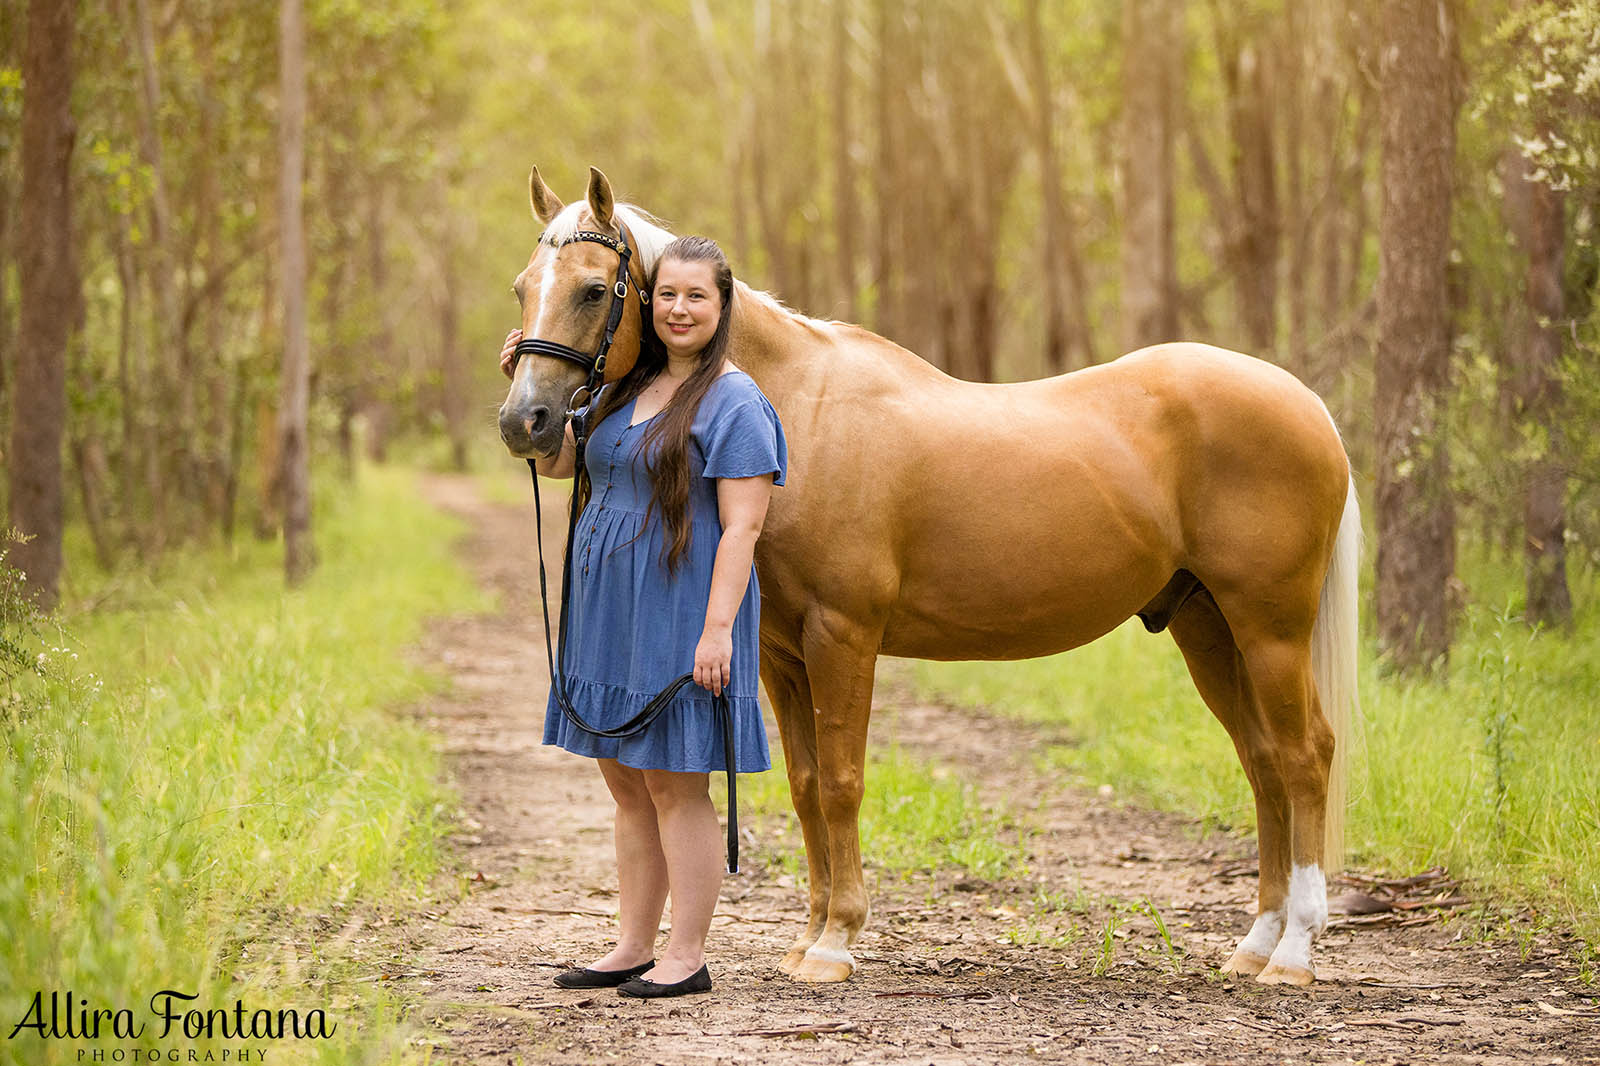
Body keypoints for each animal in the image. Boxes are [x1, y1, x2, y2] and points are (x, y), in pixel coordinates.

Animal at [502, 166, 1363, 985]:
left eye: (592, 289)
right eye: (522, 287)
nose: (524, 422)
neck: (800, 415)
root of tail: (1308, 405)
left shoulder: (843, 635)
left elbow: (842, 780)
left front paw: (836, 943)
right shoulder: (781, 654)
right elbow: (807, 786)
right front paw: (809, 937)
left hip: (1270, 629)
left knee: (1305, 756)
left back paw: (1293, 953)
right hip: (1208, 626)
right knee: (1262, 762)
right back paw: (1255, 944)